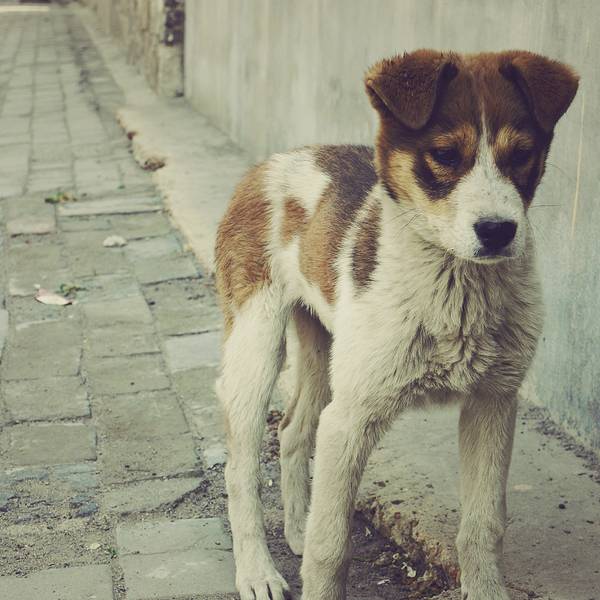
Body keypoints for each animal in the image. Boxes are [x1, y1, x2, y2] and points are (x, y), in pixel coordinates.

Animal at [214, 50, 578, 600]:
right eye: (445, 154)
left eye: (522, 154)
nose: (498, 232)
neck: (456, 290)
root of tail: (270, 163)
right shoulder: (350, 419)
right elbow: (331, 547)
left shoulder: (493, 402)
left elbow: (483, 524)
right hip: (256, 348)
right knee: (240, 469)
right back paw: (258, 571)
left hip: (324, 350)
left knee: (294, 429)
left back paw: (296, 529)